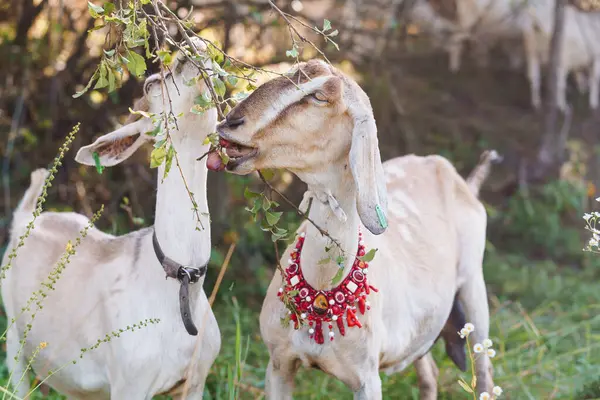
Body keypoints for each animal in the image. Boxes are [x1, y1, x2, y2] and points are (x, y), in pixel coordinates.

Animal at [1, 36, 221, 396]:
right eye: (150, 84)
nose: (192, 48)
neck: (178, 279)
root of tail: (25, 218)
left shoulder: (195, 382)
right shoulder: (130, 383)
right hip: (14, 338)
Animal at [206, 60, 496, 400]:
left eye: (320, 97)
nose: (232, 121)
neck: (321, 287)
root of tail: (459, 179)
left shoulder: (366, 379)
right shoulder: (278, 365)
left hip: (474, 288)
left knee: (484, 371)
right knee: (430, 374)